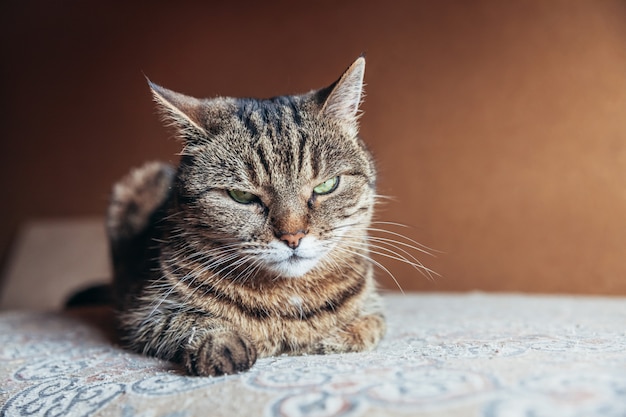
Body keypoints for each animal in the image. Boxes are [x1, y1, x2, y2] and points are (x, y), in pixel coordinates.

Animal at [105, 55, 392, 374]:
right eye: (241, 196)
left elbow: (363, 329)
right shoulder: (143, 313)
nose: (293, 237)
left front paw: (327, 338)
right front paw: (222, 343)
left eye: (326, 186)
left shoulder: (374, 309)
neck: (288, 297)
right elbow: (191, 321)